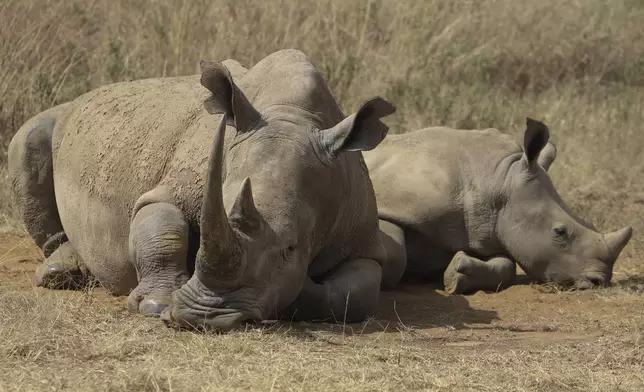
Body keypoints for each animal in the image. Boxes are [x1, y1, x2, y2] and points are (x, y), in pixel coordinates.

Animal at [7, 49, 394, 330]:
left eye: (291, 247)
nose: (202, 316)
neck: (292, 116)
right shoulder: (170, 190)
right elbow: (162, 229)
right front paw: (156, 305)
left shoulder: (362, 240)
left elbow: (352, 295)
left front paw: (299, 292)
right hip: (63, 120)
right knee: (28, 140)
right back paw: (61, 273)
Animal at [364, 119, 632, 294]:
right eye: (560, 232)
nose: (599, 281)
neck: (497, 181)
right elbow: (397, 253)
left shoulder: (482, 230)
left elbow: (507, 265)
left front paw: (456, 273)